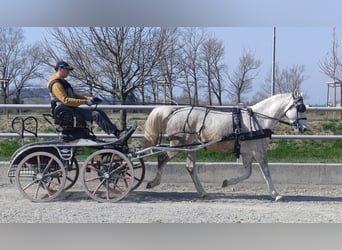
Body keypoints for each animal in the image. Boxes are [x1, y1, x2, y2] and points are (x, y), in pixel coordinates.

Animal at [143, 92, 308, 201]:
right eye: (300, 108)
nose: (304, 129)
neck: (258, 119)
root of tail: (174, 111)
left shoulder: (247, 153)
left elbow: (247, 173)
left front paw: (227, 182)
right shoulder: (259, 151)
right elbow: (266, 172)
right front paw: (276, 194)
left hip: (190, 148)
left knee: (190, 167)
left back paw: (203, 192)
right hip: (179, 145)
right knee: (162, 159)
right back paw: (153, 182)